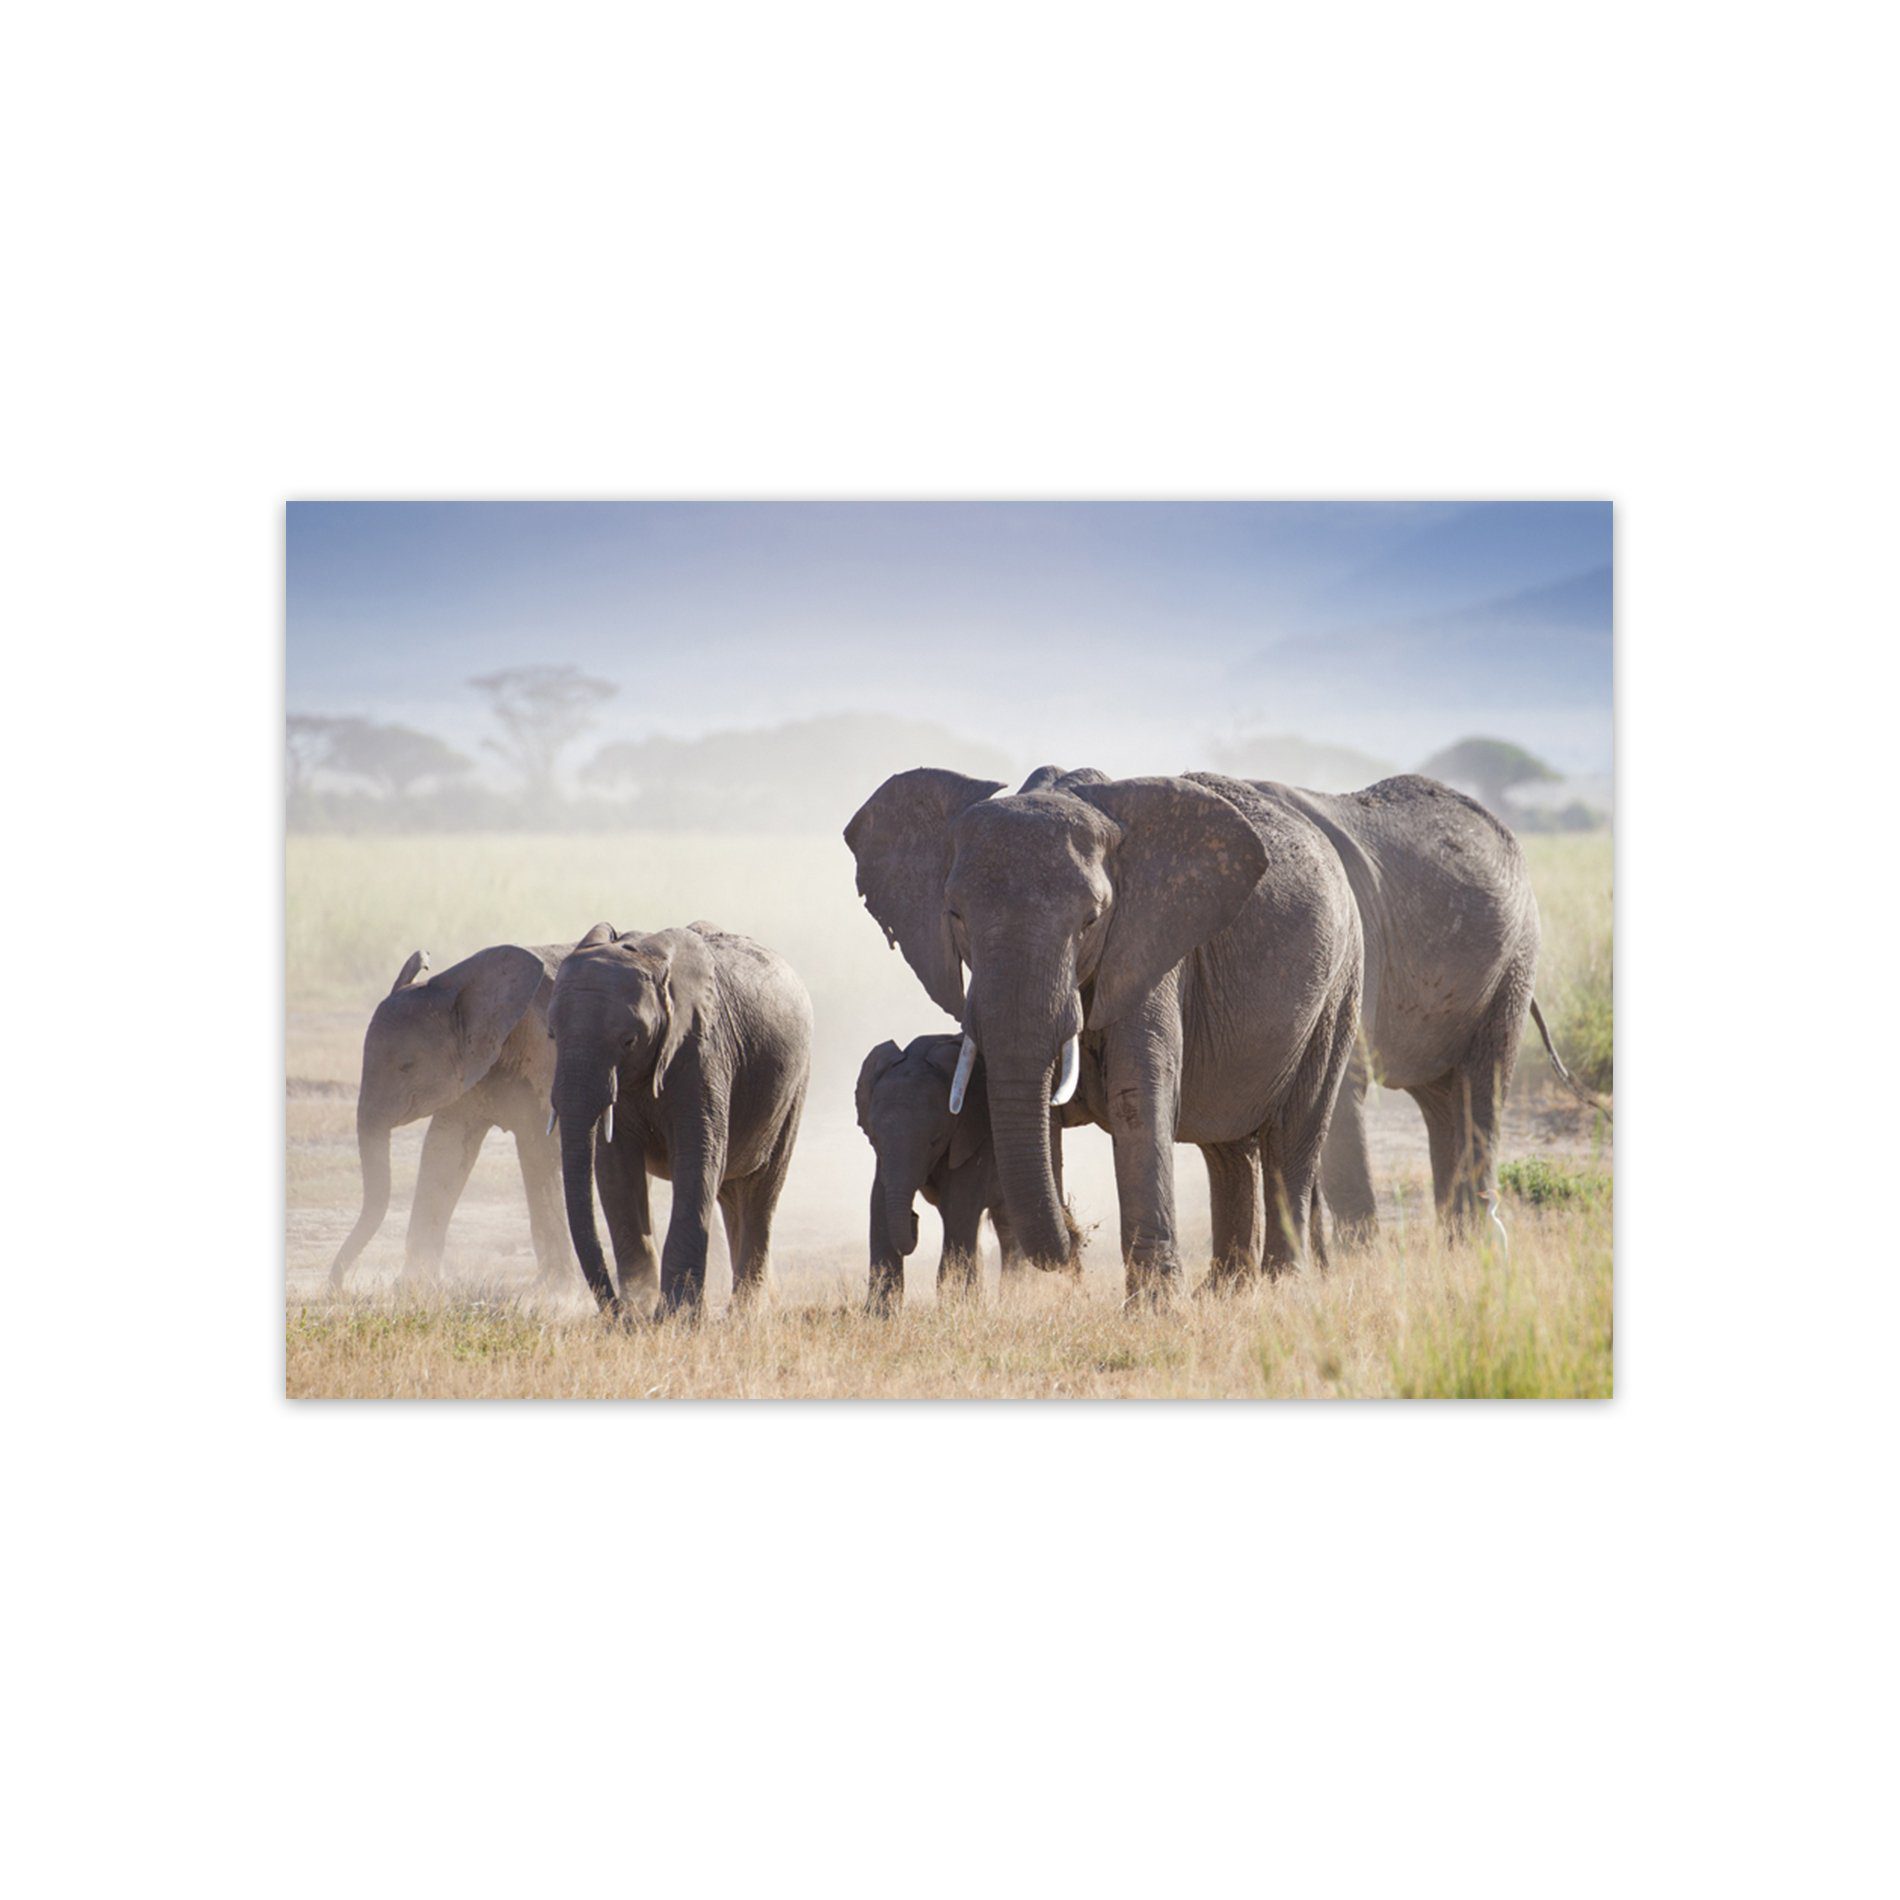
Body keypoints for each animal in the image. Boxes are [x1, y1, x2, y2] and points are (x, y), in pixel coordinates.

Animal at [328, 942, 571, 1289]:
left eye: (406, 1066)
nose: (339, 1287)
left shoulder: (545, 1059)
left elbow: (538, 1149)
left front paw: (554, 1290)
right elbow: (444, 1149)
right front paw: (412, 1286)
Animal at [549, 921, 812, 1319]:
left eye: (629, 1041)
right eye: (551, 1035)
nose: (613, 1313)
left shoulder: (702, 1051)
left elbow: (697, 1156)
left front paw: (676, 1316)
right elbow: (615, 1169)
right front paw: (639, 1308)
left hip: (794, 1086)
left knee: (760, 1191)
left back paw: (746, 1311)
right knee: (732, 1192)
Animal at [856, 1035, 1029, 1312]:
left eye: (935, 1141)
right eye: (874, 1139)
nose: (914, 1218)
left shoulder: (974, 1132)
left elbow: (959, 1204)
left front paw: (959, 1306)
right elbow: (879, 1200)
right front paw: (879, 1314)